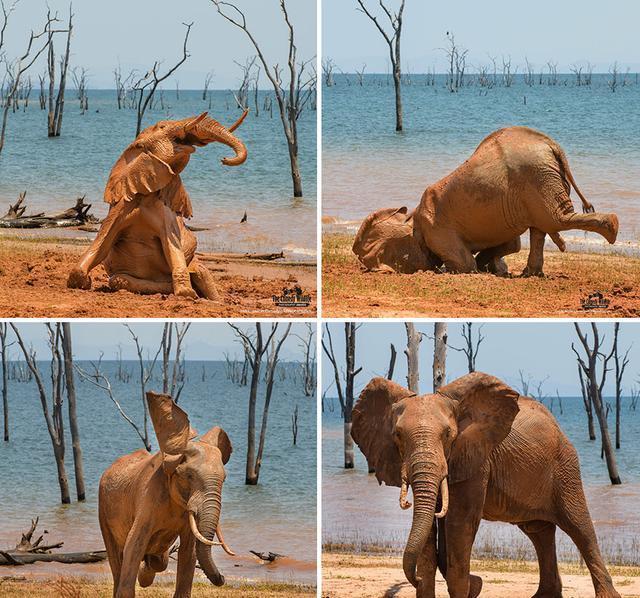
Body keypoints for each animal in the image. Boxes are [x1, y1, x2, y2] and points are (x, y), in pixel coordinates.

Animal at [64, 109, 245, 300]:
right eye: (162, 126)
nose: (224, 159)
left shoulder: (166, 211)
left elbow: (172, 245)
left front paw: (186, 293)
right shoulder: (120, 206)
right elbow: (102, 243)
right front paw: (83, 283)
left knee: (201, 272)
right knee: (119, 280)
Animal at [97, 392, 232, 596]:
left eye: (224, 480)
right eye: (189, 476)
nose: (222, 578)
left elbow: (189, 552)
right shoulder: (149, 498)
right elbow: (133, 546)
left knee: (160, 560)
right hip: (103, 510)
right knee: (117, 561)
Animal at [350, 372, 620, 596]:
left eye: (448, 435)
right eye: (397, 435)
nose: (413, 579)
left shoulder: (477, 457)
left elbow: (460, 523)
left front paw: (470, 586)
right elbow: (430, 532)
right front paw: (465, 584)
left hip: (565, 466)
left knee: (579, 527)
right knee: (539, 532)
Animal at [352, 127, 616, 278]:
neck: (411, 217)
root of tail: (553, 145)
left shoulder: (437, 231)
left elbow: (466, 263)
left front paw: (466, 268)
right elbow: (511, 245)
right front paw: (491, 268)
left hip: (537, 176)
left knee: (554, 220)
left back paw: (612, 228)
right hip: (540, 180)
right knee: (541, 227)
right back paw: (530, 274)